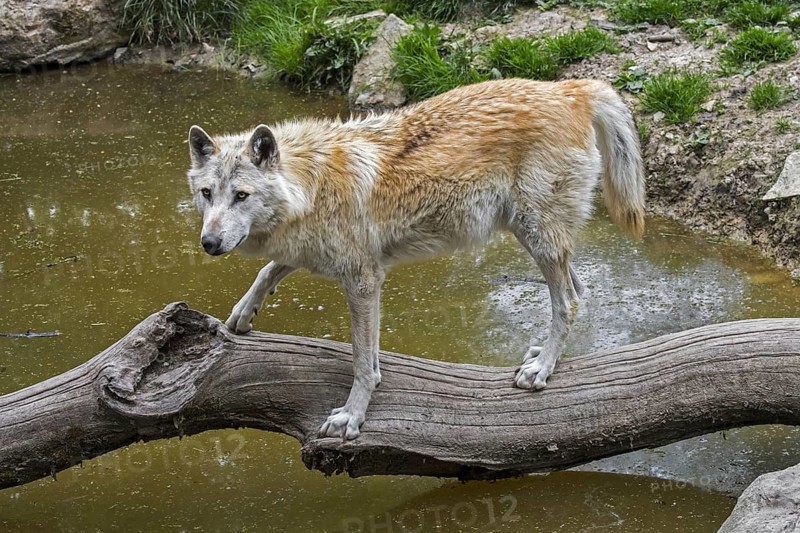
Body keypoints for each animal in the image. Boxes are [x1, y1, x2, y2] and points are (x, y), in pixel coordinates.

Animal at [186, 78, 645, 441]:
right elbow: (269, 270)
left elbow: (361, 363)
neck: (310, 186)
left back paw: (541, 370)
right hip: (539, 239)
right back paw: (543, 356)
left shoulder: (362, 280)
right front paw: (243, 314)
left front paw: (352, 417)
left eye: (241, 195)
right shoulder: (332, 262)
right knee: (578, 291)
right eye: (207, 194)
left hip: (537, 237)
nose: (208, 242)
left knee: (568, 301)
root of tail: (570, 88)